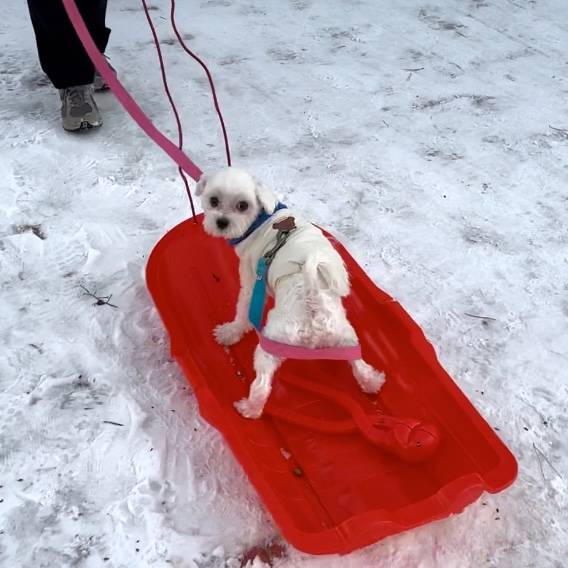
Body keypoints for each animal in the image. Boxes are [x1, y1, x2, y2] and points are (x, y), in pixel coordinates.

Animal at [196, 166, 386, 420]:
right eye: (214, 201)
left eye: (243, 205)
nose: (222, 222)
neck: (261, 220)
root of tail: (313, 299)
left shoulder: (251, 276)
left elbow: (243, 309)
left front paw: (230, 332)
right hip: (345, 335)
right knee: (359, 364)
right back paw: (372, 382)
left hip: (272, 343)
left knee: (262, 384)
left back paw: (250, 408)